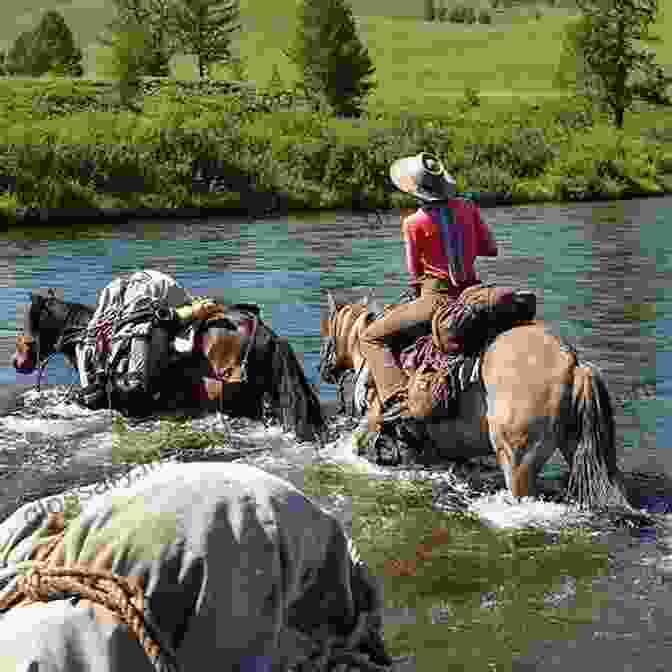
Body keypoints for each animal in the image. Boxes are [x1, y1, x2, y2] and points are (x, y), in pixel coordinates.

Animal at [320, 286, 640, 512]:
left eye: (327, 332)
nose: (324, 370)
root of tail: (573, 363)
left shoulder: (374, 424)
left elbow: (358, 444)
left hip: (517, 460)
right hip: (573, 447)